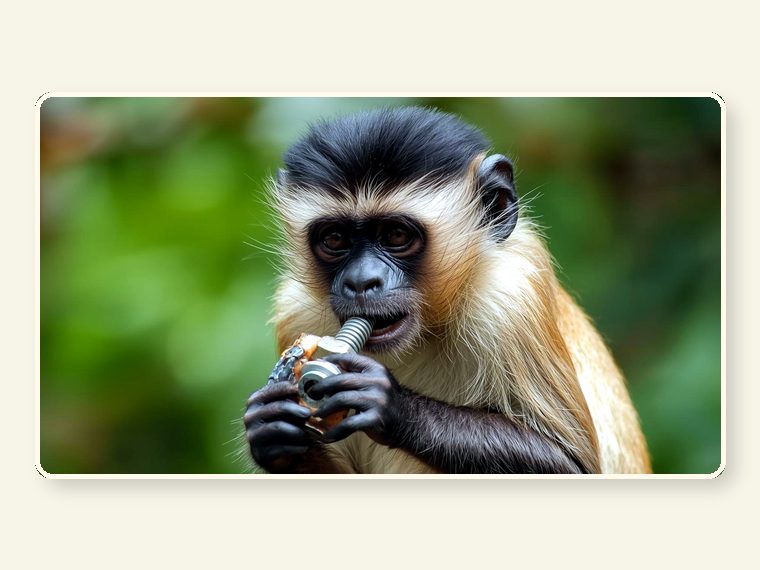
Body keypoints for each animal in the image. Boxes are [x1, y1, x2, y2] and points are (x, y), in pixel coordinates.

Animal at [243, 106, 651, 474]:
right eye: (334, 239)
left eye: (396, 235)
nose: (361, 281)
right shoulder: (294, 311)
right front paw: (271, 429)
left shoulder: (512, 294)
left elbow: (573, 466)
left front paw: (390, 405)